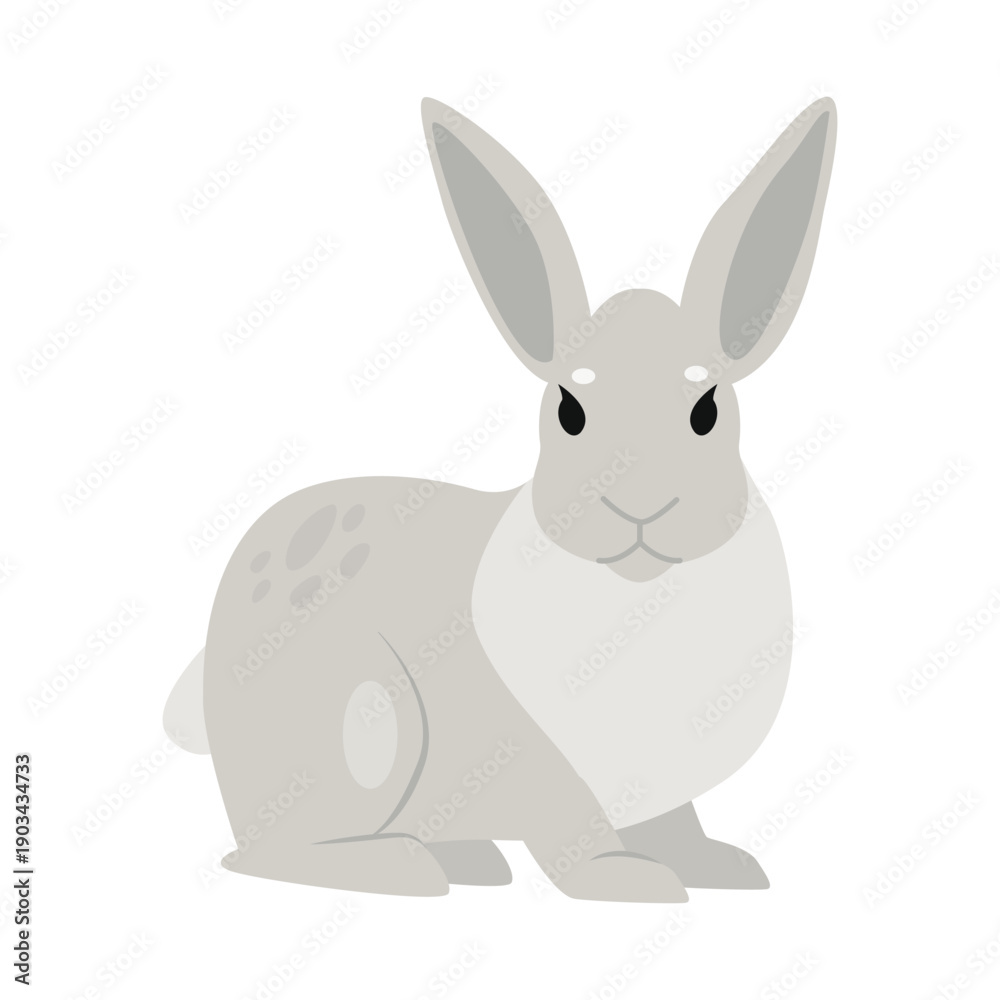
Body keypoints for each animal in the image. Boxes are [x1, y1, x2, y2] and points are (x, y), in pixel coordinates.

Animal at [164, 94, 836, 901]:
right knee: (270, 854)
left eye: (707, 409)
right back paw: (404, 868)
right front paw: (624, 879)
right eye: (568, 412)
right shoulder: (537, 763)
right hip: (360, 725)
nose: (639, 505)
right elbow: (572, 829)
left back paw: (469, 859)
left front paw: (719, 866)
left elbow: (677, 827)